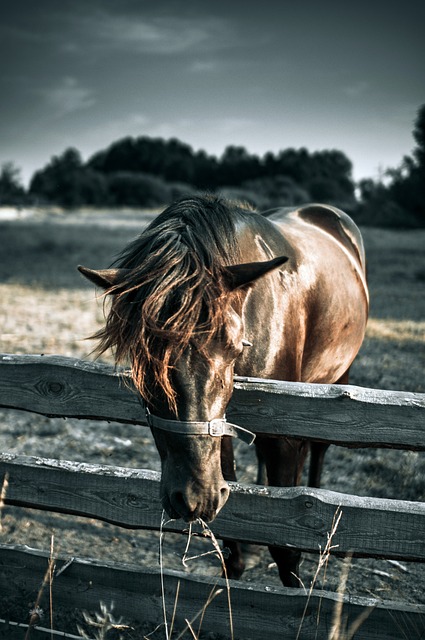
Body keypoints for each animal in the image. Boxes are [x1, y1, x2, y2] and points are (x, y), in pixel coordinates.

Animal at [78, 194, 368, 584]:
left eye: (233, 348)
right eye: (141, 360)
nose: (194, 497)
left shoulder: (283, 434)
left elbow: (286, 545)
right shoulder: (221, 432)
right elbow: (231, 544)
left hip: (339, 374)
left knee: (320, 447)